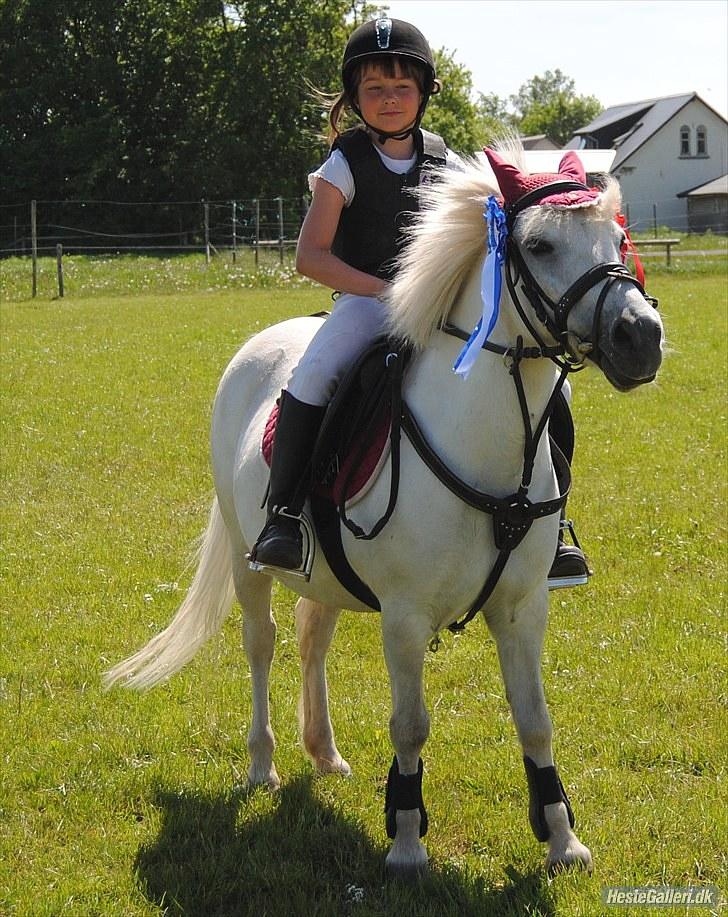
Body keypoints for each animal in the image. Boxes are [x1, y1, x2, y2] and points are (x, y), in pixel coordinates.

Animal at [104, 143, 664, 880]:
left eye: (618, 240)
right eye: (540, 244)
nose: (642, 337)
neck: (480, 439)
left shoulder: (523, 608)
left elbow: (536, 718)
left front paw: (562, 841)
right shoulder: (404, 616)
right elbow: (411, 724)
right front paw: (405, 841)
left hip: (326, 578)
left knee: (312, 636)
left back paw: (324, 753)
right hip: (249, 559)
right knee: (262, 643)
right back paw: (263, 765)